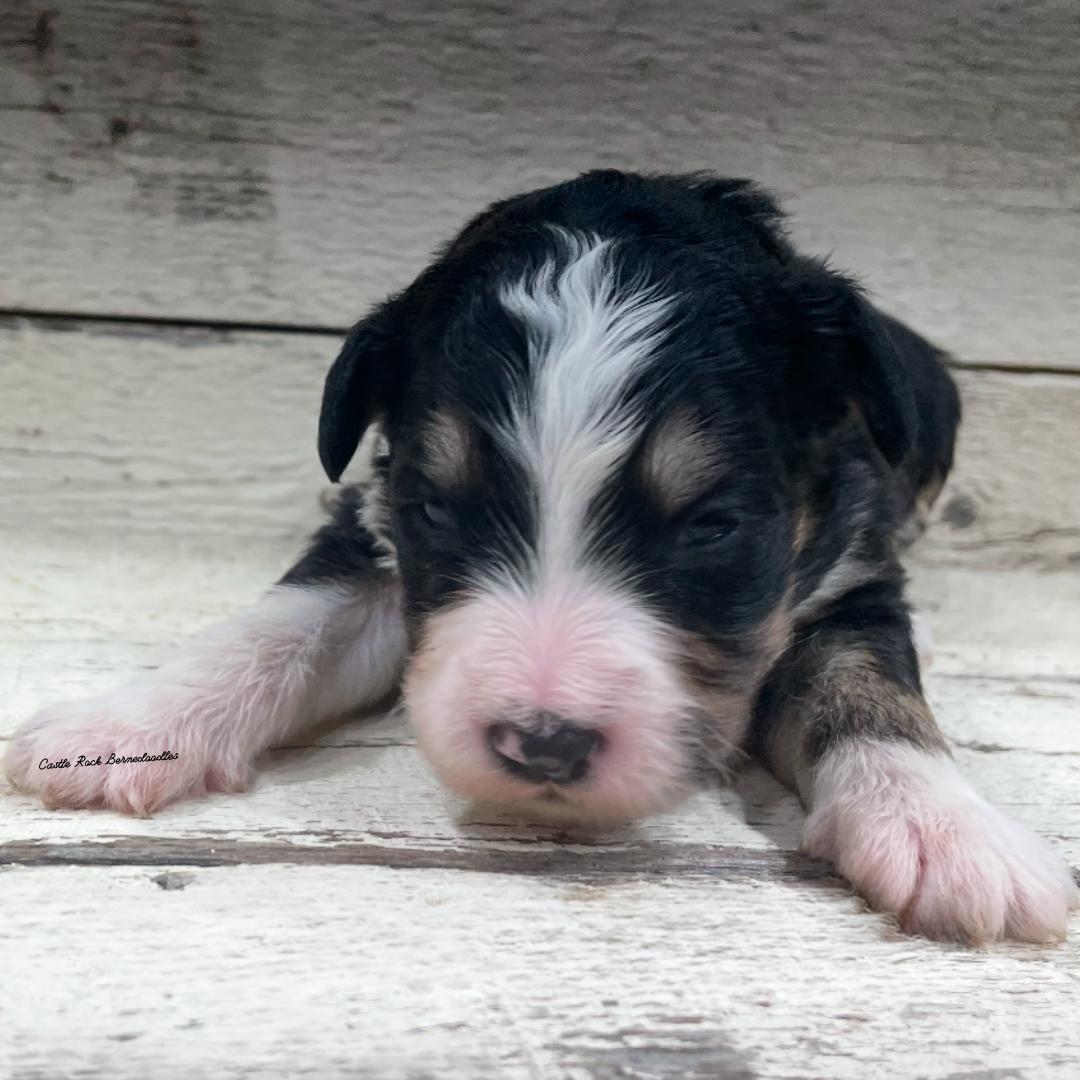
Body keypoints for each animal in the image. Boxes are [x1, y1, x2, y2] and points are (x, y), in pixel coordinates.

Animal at [4, 170, 1075, 946]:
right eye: (436, 508)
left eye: (713, 525)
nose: (543, 745)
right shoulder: (378, 528)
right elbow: (283, 619)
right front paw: (126, 724)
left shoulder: (851, 572)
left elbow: (869, 689)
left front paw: (945, 831)